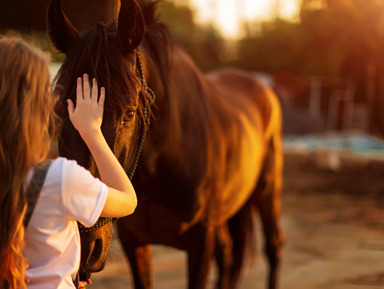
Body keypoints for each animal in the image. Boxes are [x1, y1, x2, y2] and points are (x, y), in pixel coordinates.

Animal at [46, 0, 284, 286]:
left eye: (129, 113)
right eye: (59, 111)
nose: (83, 246)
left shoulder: (200, 242)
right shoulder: (134, 241)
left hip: (268, 190)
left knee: (272, 247)